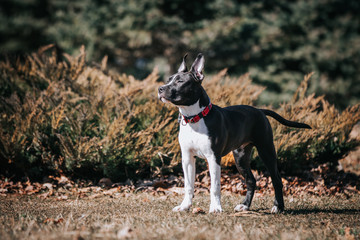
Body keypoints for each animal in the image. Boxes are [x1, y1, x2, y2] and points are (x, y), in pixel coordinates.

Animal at [158, 53, 312, 213]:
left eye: (180, 81)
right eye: (169, 80)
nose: (160, 89)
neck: (195, 117)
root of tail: (260, 110)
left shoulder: (213, 157)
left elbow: (215, 186)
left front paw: (215, 208)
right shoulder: (187, 158)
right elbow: (188, 185)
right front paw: (185, 206)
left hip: (266, 151)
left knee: (276, 179)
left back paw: (278, 206)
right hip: (240, 157)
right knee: (251, 180)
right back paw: (245, 205)